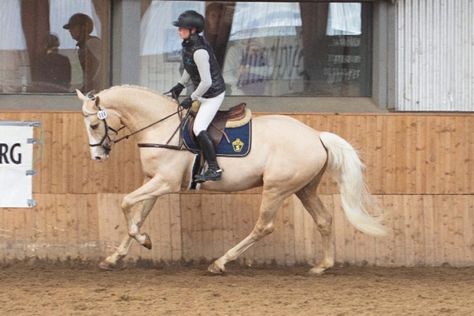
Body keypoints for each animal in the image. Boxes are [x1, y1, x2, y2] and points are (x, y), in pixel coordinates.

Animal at [78, 84, 388, 274]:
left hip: (276, 188)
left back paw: (220, 262)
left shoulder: (165, 182)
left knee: (264, 226)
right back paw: (322, 265)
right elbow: (138, 214)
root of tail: (316, 136)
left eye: (94, 124)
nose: (98, 156)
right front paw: (117, 256)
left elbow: (125, 203)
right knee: (324, 219)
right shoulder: (154, 182)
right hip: (304, 189)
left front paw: (144, 241)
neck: (161, 127)